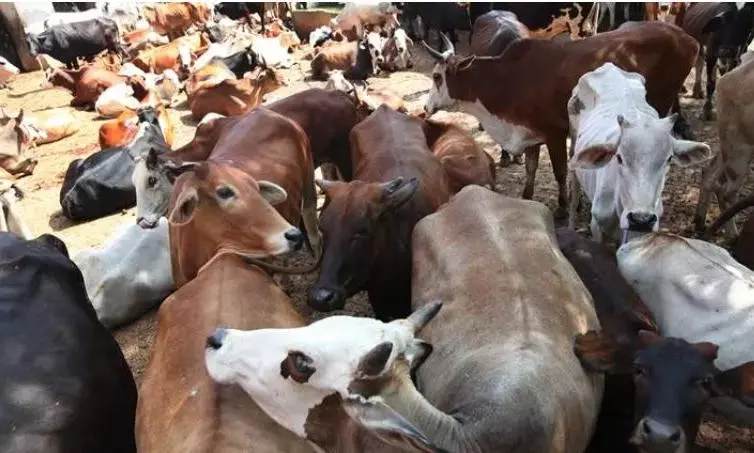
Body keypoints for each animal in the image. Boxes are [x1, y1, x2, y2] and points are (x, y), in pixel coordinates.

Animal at [423, 22, 699, 219]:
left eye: (437, 77)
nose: (425, 107)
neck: (509, 80)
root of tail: (687, 38)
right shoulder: (529, 132)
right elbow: (531, 168)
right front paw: (527, 196)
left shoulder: (554, 133)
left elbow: (559, 171)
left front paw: (563, 207)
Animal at [567, 63, 711, 245]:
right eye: (619, 157)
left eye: (669, 159)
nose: (641, 219)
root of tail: (609, 67)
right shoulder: (597, 228)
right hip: (573, 145)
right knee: (574, 192)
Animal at [695, 57, 754, 237]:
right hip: (740, 148)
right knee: (725, 191)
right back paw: (732, 235)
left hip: (728, 144)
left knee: (709, 172)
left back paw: (699, 223)